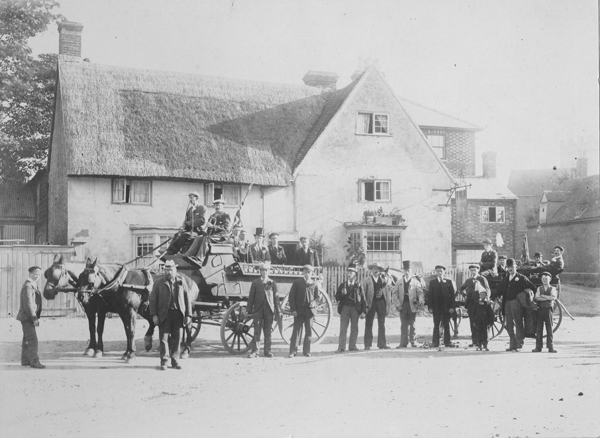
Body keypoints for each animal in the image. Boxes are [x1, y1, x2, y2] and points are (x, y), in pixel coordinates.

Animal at [45, 255, 199, 362]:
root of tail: (191, 281)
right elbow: (107, 330)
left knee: (188, 327)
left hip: (187, 310)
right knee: (156, 323)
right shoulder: (114, 312)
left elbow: (116, 330)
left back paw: (185, 350)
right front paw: (123, 352)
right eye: (81, 276)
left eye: (57, 274)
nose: (47, 292)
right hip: (148, 309)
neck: (119, 283)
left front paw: (104, 351)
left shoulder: (109, 310)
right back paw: (154, 342)